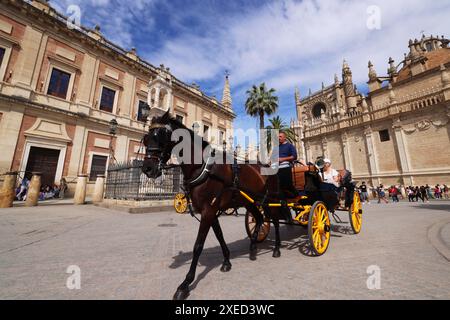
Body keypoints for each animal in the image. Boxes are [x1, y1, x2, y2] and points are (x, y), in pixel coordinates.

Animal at [142, 112, 286, 300]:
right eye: (146, 139)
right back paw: (253, 248)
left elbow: (198, 246)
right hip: (249, 202)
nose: (147, 168)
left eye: (160, 136)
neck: (203, 168)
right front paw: (227, 261)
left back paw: (276, 249)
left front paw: (185, 284)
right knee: (260, 218)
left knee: (274, 220)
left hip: (269, 200)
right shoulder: (210, 211)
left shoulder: (208, 211)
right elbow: (219, 235)